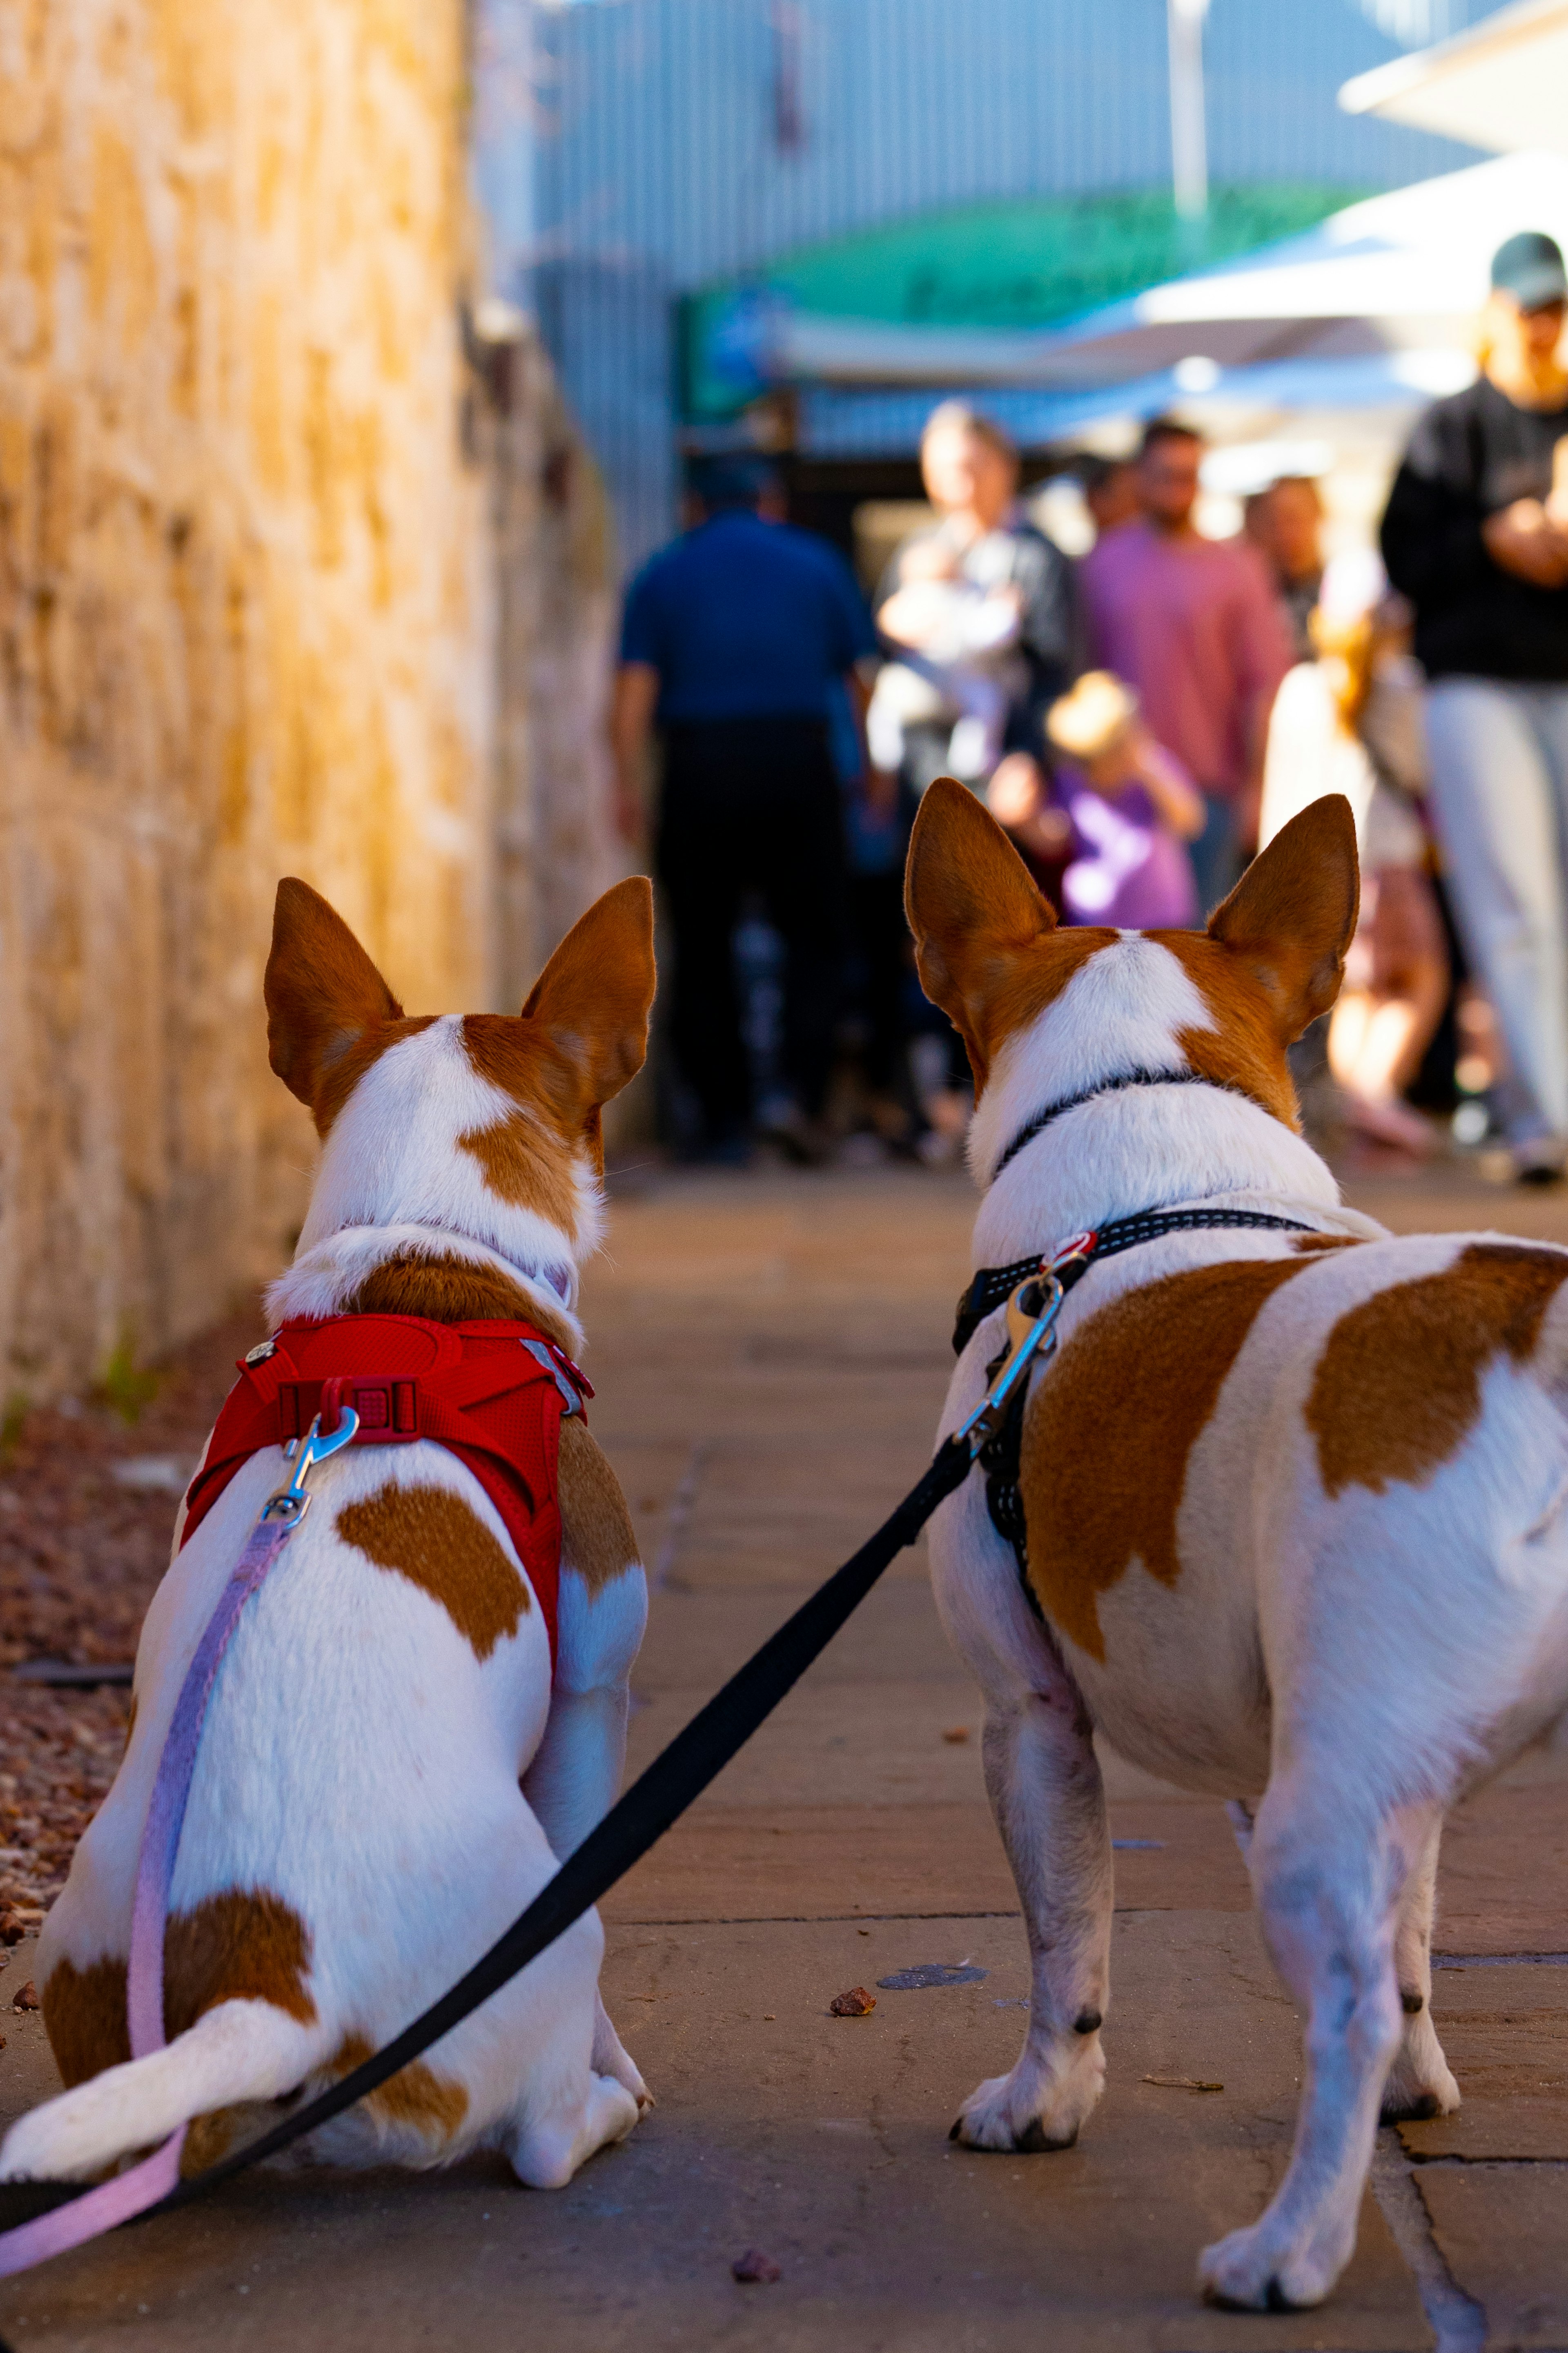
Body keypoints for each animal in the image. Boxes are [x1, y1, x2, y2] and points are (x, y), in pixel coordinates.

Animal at [0, 875, 658, 2193]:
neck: (421, 1259)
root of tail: (270, 1988)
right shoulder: (588, 1696)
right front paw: (618, 2066)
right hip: (545, 1931)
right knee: (542, 2136)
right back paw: (599, 2114)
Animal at [902, 781, 1568, 2306]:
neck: (1159, 1162)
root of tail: (1538, 1332)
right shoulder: (1381, 1773)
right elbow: (1419, 1947)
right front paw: (1421, 2092)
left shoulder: (1029, 1717)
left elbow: (1065, 1941)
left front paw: (1042, 2101)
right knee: (1374, 1982)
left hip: (1305, 1819)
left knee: (1344, 2013)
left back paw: (1290, 2248)